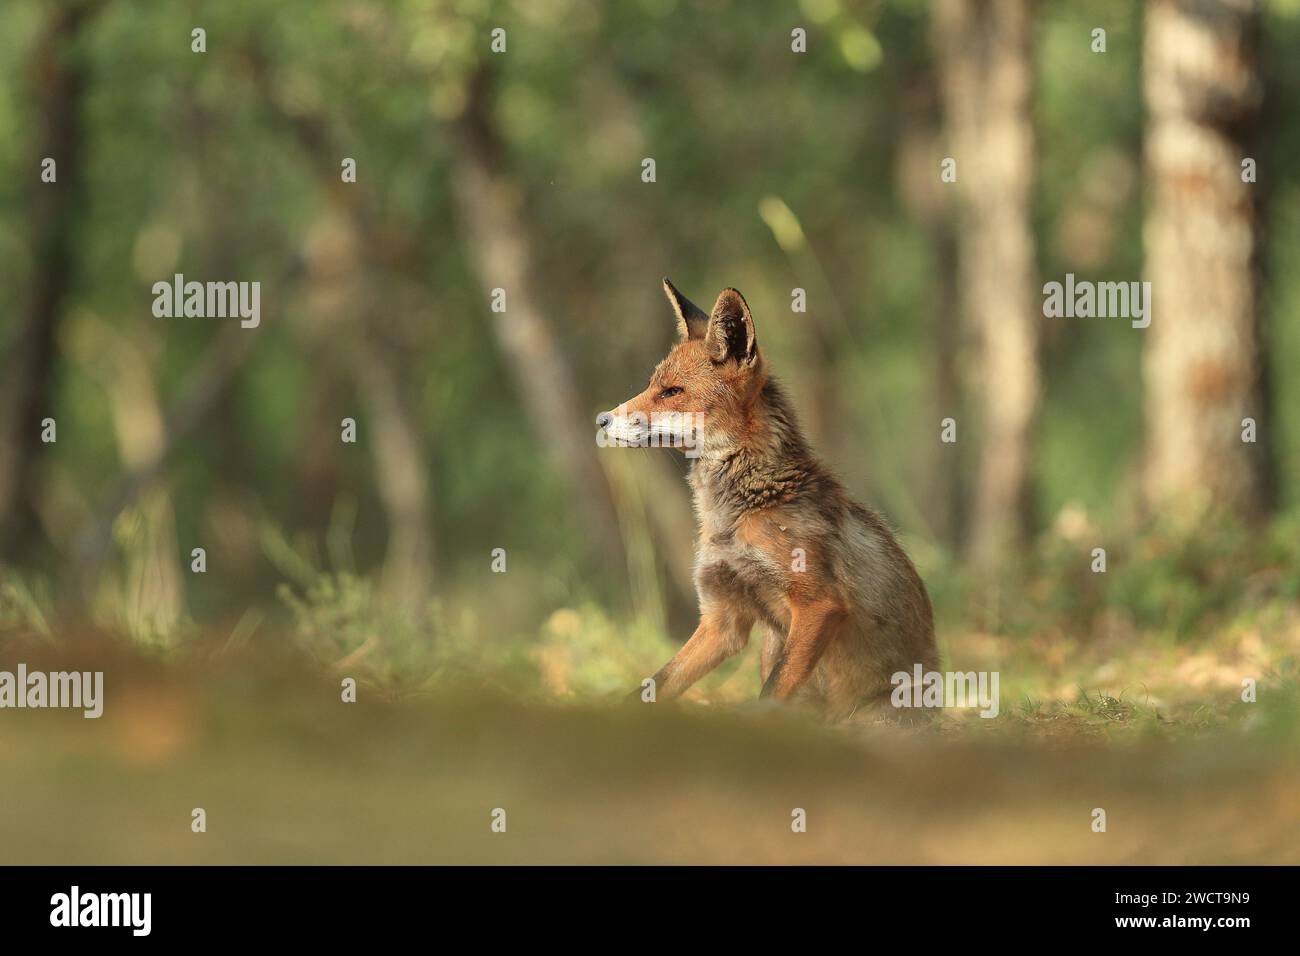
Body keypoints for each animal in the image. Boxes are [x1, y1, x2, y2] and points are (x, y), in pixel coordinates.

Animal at [597, 279, 938, 719]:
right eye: (652, 385)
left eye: (672, 392)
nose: (602, 419)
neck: (737, 515)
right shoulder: (722, 619)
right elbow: (655, 684)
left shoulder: (819, 604)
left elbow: (772, 692)